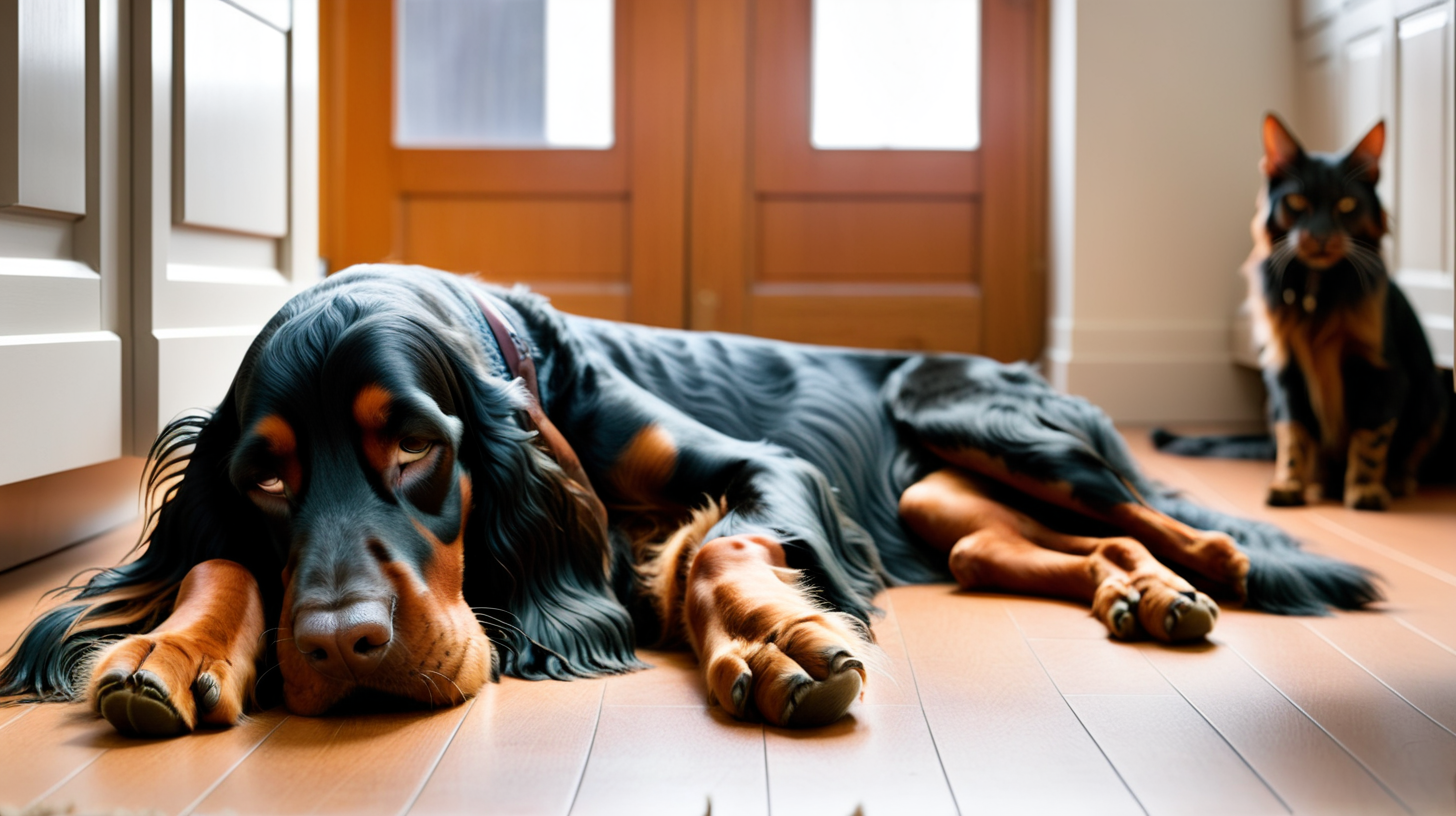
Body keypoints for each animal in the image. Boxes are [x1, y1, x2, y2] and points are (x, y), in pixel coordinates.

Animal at [0, 266, 1374, 734]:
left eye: (418, 447)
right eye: (267, 476)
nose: (342, 649)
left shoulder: (768, 475)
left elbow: (713, 549)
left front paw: (774, 646)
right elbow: (214, 559)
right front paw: (171, 648)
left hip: (981, 421)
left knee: (1162, 518)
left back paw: (1205, 576)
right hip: (942, 501)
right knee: (1032, 550)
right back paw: (1141, 597)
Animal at [1153, 115, 1450, 510]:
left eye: (1346, 204)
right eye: (1297, 201)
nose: (1320, 236)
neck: (1318, 291)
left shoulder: (1382, 369)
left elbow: (1370, 436)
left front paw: (1365, 490)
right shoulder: (1286, 370)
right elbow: (1293, 434)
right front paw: (1288, 484)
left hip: (1434, 396)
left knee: (1408, 454)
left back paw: (1396, 481)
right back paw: (1317, 482)